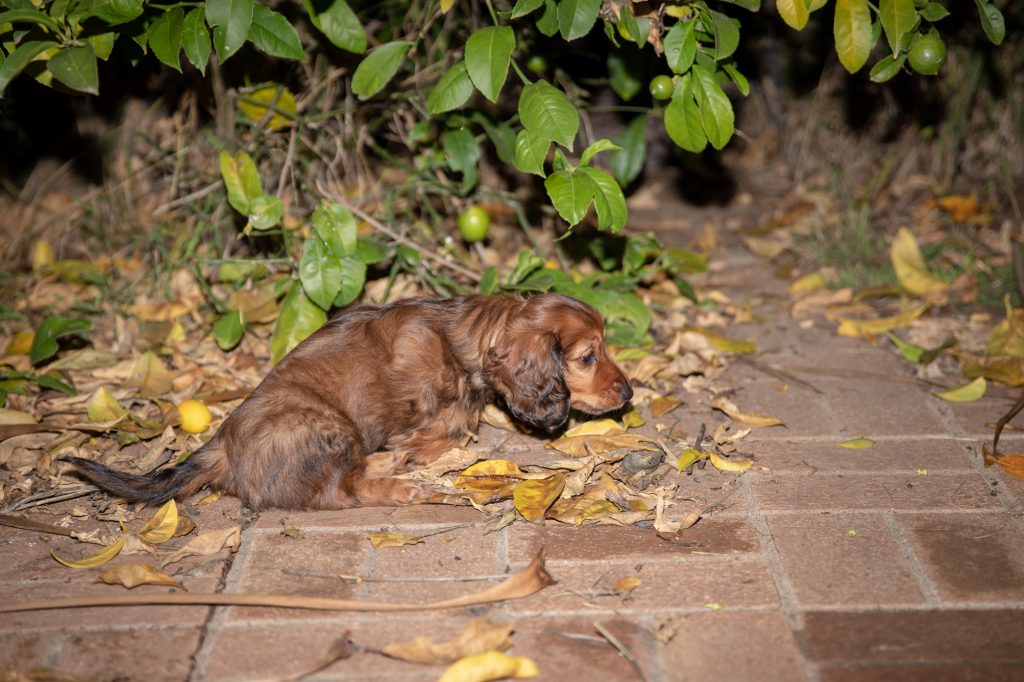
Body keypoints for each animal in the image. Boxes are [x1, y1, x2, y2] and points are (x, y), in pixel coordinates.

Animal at [61, 292, 630, 509]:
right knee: (340, 493)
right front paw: (414, 455)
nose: (629, 392)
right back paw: (399, 485)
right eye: (587, 356)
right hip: (325, 427)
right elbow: (451, 431)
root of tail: (222, 446)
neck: (465, 336)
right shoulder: (434, 421)